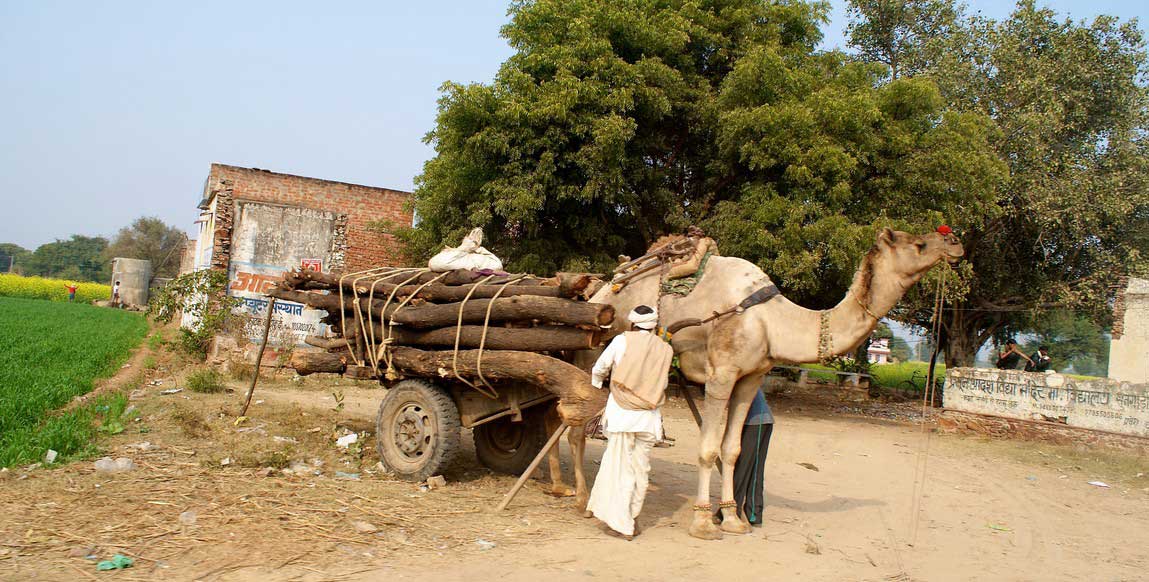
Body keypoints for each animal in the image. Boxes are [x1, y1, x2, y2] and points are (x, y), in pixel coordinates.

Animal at [579, 228, 965, 541]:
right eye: (917, 243)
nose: (955, 243)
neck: (770, 320)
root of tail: (602, 290)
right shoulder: (721, 373)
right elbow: (708, 449)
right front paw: (704, 523)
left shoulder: (751, 376)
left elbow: (732, 449)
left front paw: (734, 518)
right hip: (597, 340)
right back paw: (585, 499)